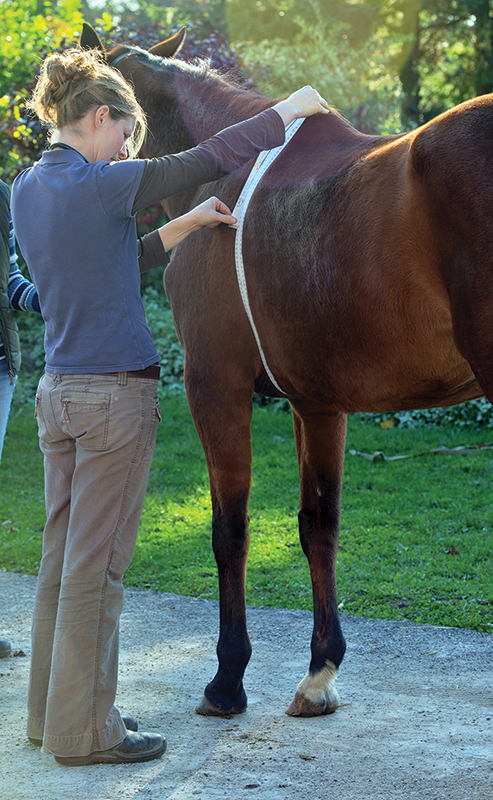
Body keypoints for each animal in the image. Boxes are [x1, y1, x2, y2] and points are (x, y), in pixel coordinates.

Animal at [81, 23, 492, 718]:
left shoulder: (214, 385)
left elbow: (231, 529)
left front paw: (227, 678)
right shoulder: (317, 402)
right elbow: (317, 525)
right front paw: (321, 671)